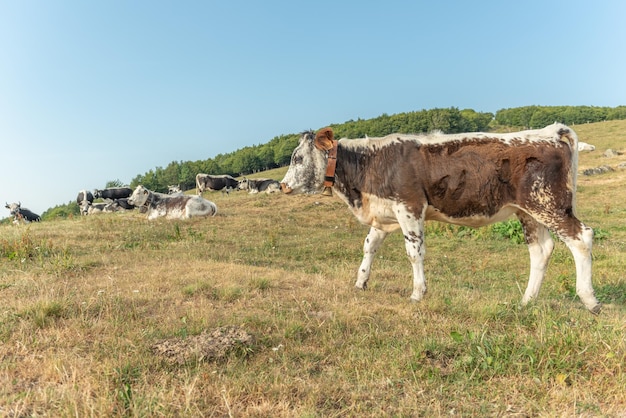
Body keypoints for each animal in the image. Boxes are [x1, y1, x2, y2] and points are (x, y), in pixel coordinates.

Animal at [280, 124, 600, 314]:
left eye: (297, 158)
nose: (282, 186)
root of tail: (551, 130)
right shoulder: (383, 215)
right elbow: (369, 246)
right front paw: (360, 282)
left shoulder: (409, 206)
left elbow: (414, 252)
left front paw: (417, 293)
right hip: (528, 211)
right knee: (541, 250)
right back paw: (527, 301)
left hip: (549, 204)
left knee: (581, 238)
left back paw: (589, 299)